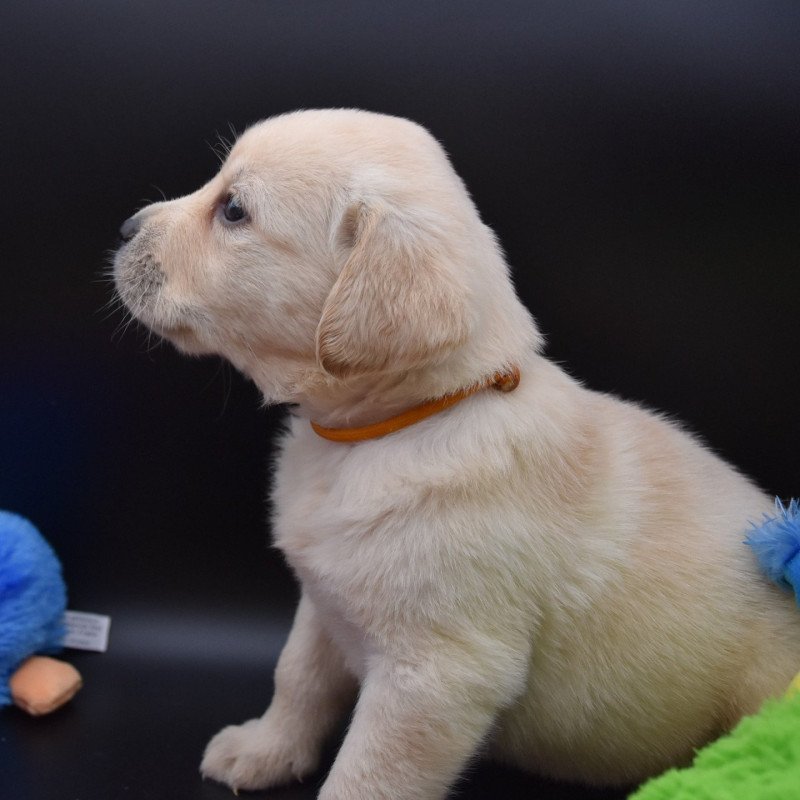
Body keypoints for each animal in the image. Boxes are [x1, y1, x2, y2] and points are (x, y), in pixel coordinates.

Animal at [112, 109, 800, 796]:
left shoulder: (435, 676)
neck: (388, 429)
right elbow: (297, 676)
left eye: (233, 211)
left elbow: (368, 774)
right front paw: (264, 749)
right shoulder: (322, 600)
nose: (124, 229)